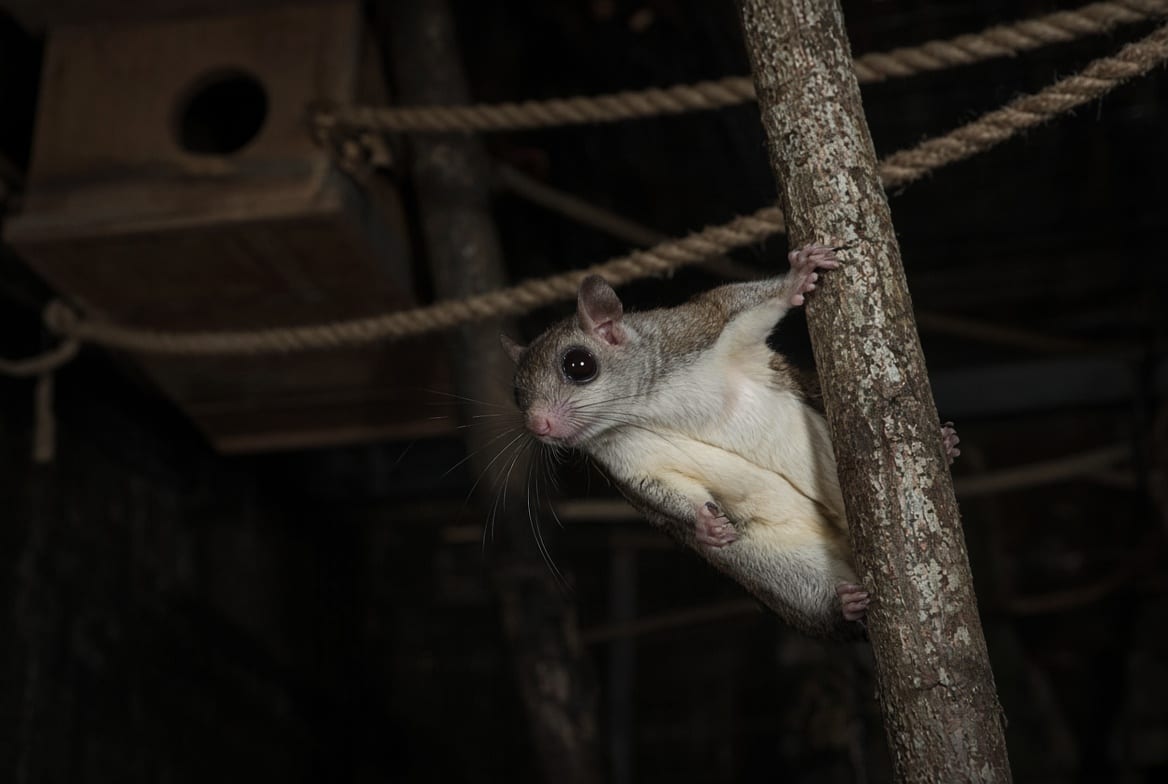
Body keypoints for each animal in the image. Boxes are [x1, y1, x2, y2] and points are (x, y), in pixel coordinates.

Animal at [502, 244, 959, 639]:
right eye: (516, 394)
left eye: (579, 364)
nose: (539, 425)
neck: (643, 409)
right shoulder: (628, 457)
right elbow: (661, 488)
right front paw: (704, 523)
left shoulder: (696, 330)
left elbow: (741, 306)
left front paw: (797, 277)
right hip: (784, 574)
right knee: (822, 607)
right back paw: (845, 605)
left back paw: (945, 443)